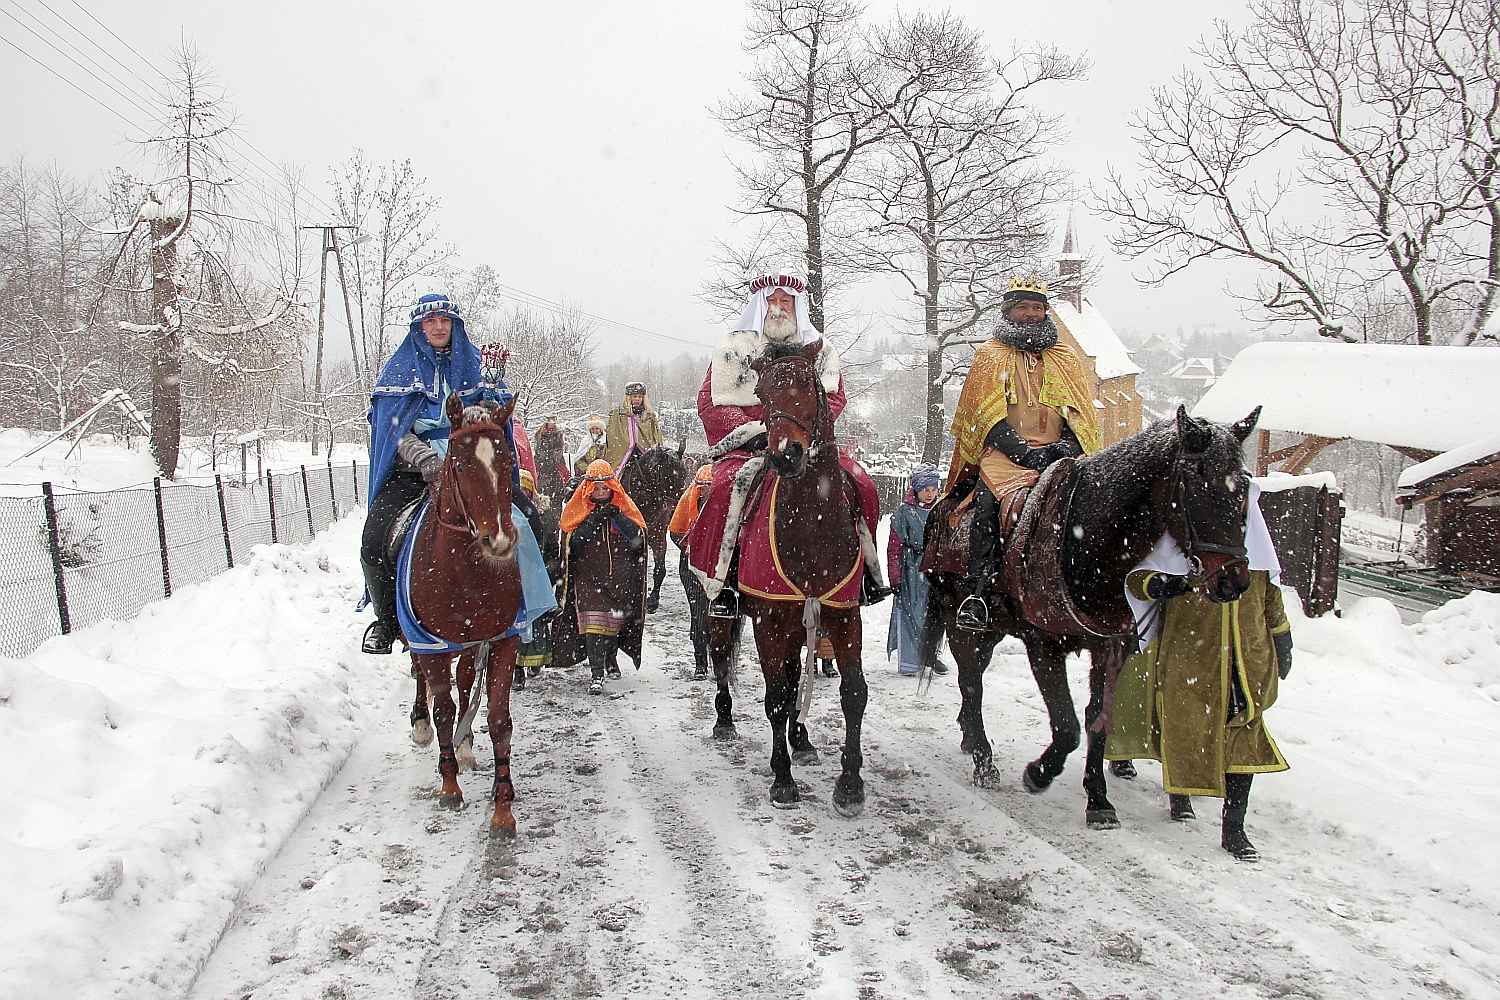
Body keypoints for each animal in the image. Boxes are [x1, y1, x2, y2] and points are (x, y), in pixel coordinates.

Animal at [403, 392, 528, 836]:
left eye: (506, 460)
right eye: (458, 464)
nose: (500, 541)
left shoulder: (504, 639)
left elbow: (499, 719)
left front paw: (503, 804)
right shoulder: (432, 646)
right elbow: (443, 709)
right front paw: (449, 786)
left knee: (466, 679)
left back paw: (467, 745)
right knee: (422, 678)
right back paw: (423, 726)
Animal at [619, 441, 688, 613]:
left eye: (684, 474)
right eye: (667, 476)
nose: (677, 509)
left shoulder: (658, 536)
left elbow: (660, 570)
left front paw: (653, 600)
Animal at [705, 338, 868, 817]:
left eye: (807, 383)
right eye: (761, 393)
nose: (784, 453)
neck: (812, 525)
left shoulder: (842, 615)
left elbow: (853, 693)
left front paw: (850, 784)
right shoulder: (770, 620)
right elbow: (776, 697)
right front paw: (782, 780)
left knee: (797, 676)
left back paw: (803, 739)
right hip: (723, 610)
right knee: (721, 655)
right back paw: (725, 720)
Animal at [922, 405, 1262, 828]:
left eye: (1244, 486)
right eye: (1198, 483)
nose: (1233, 581)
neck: (1085, 541)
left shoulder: (1110, 647)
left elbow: (1097, 718)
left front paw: (1098, 798)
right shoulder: (1044, 645)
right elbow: (1067, 726)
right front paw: (1038, 774)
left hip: (993, 628)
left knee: (976, 675)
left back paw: (971, 738)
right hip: (958, 619)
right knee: (970, 679)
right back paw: (984, 759)